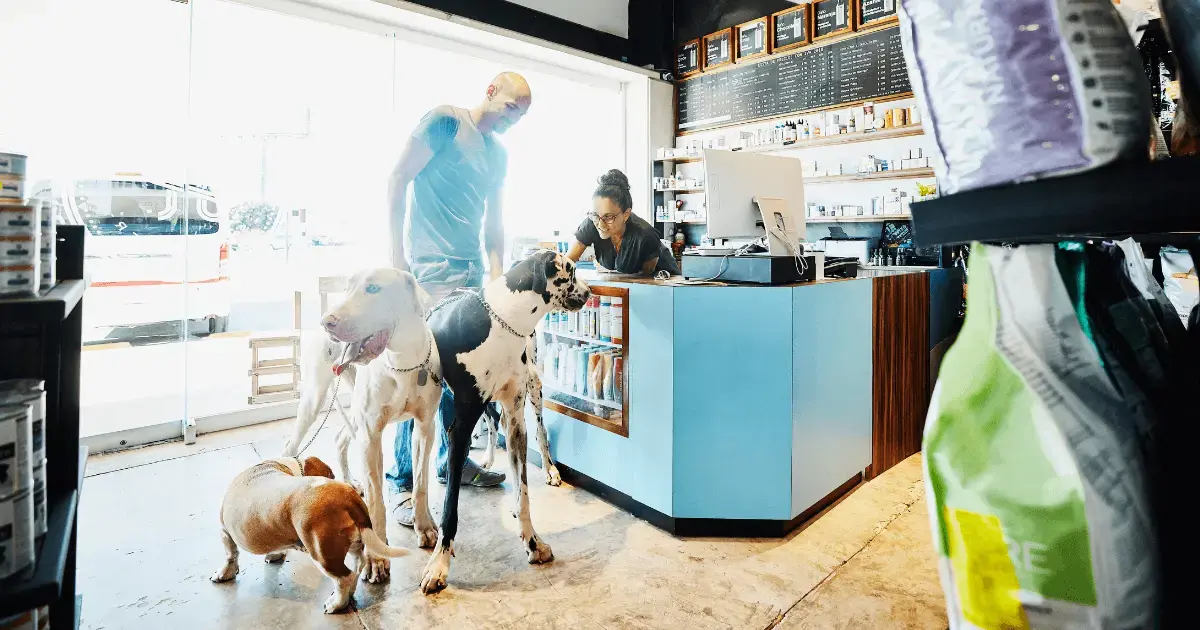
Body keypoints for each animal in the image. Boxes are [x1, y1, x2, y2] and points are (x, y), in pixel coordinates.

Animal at [208, 453, 410, 612]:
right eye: (331, 474)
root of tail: (349, 498)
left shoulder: (224, 532)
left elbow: (230, 555)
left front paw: (224, 573)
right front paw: (275, 554)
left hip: (322, 555)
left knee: (344, 578)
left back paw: (336, 604)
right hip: (351, 545)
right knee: (357, 565)